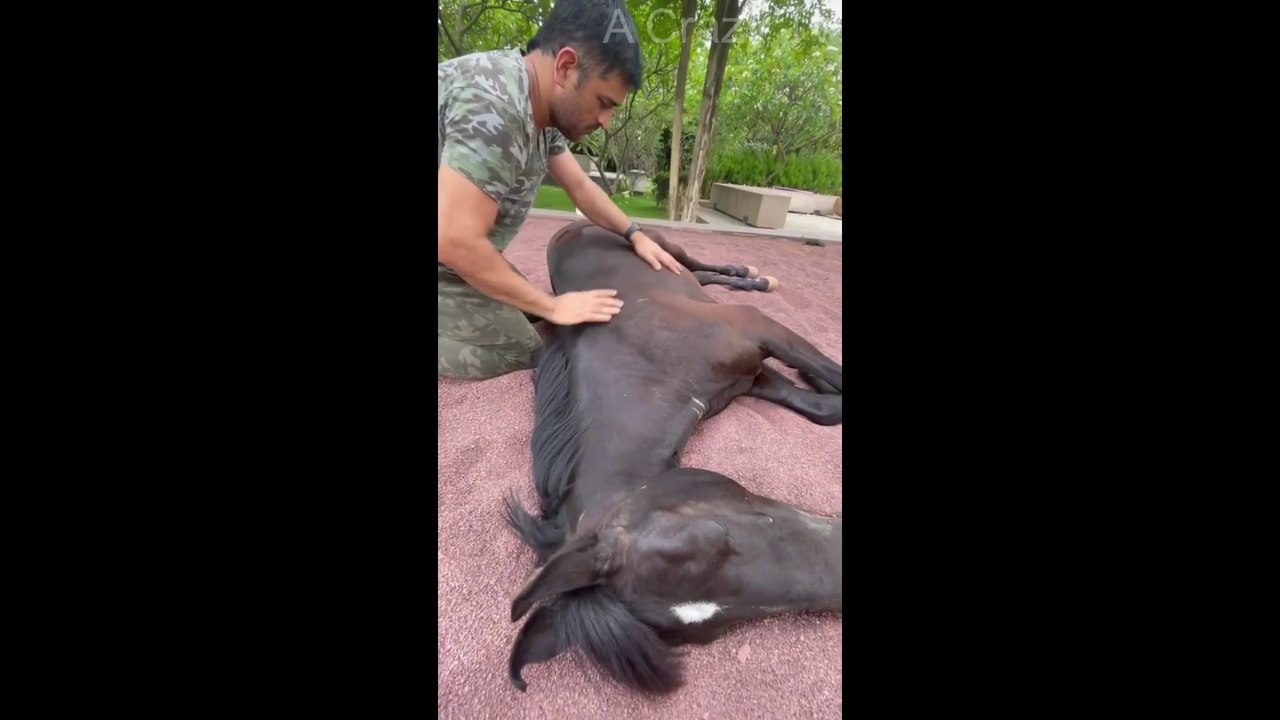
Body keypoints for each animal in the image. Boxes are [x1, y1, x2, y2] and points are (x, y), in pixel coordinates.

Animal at [503, 219, 842, 694]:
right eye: (711, 632)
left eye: (715, 534)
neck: (647, 366)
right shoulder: (753, 378)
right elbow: (828, 407)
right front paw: (816, 384)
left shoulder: (755, 330)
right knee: (699, 277)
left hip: (664, 246)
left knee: (696, 264)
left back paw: (753, 277)